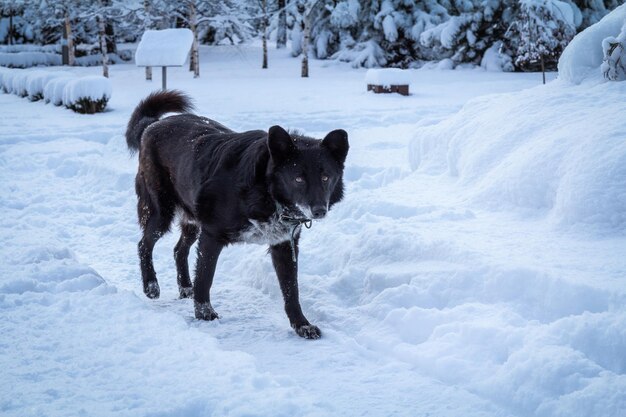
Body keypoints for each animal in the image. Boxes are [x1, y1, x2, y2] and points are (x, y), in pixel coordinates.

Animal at [122, 90, 346, 338]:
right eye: (298, 178)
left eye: (325, 177)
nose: (319, 211)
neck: (266, 192)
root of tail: (153, 125)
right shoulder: (211, 236)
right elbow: (206, 277)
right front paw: (204, 313)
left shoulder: (284, 246)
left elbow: (291, 291)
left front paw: (301, 324)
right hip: (162, 213)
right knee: (144, 244)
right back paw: (151, 286)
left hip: (192, 220)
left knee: (179, 249)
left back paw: (185, 287)